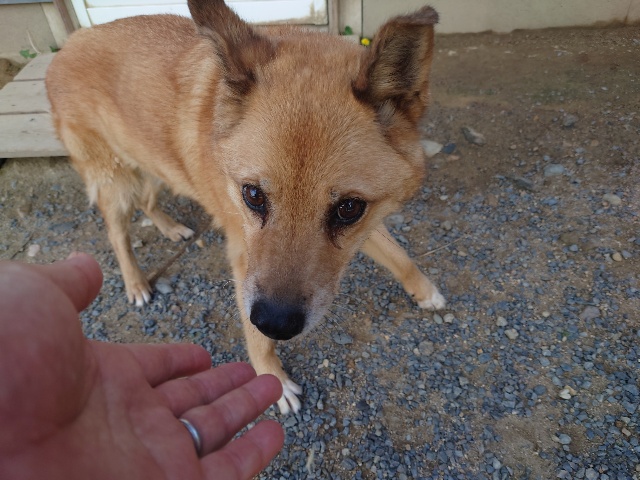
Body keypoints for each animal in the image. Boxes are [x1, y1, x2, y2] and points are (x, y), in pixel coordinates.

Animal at [46, 0, 445, 414]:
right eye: (252, 195)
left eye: (349, 208)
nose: (276, 323)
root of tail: (70, 44)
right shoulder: (243, 256)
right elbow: (255, 336)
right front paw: (274, 380)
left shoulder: (367, 222)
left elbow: (399, 254)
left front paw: (425, 290)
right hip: (116, 180)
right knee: (116, 232)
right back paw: (136, 282)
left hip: (156, 161)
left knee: (148, 199)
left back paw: (170, 227)